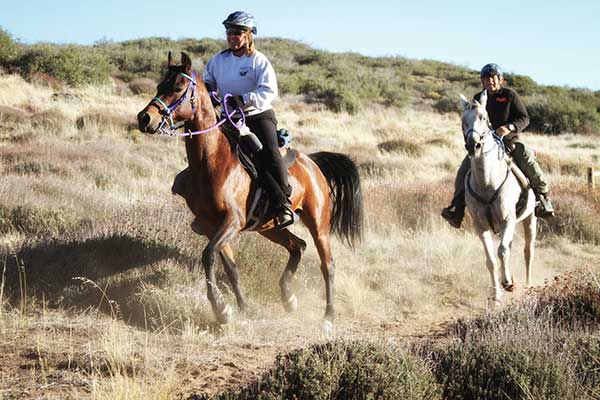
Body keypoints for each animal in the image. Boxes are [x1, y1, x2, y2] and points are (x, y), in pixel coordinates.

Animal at [136, 52, 364, 324]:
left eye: (178, 88)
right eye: (160, 85)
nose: (145, 118)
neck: (213, 161)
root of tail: (312, 162)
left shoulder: (232, 221)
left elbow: (208, 255)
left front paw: (220, 308)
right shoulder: (210, 225)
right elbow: (229, 266)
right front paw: (240, 307)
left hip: (318, 224)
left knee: (327, 263)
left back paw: (328, 314)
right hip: (270, 227)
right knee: (297, 246)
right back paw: (288, 297)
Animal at [462, 92, 536, 304]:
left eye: (484, 118)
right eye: (463, 120)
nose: (474, 145)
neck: (487, 182)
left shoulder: (507, 220)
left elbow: (502, 252)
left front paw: (508, 283)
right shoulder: (481, 226)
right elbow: (491, 260)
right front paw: (496, 295)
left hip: (530, 219)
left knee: (528, 252)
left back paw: (528, 285)